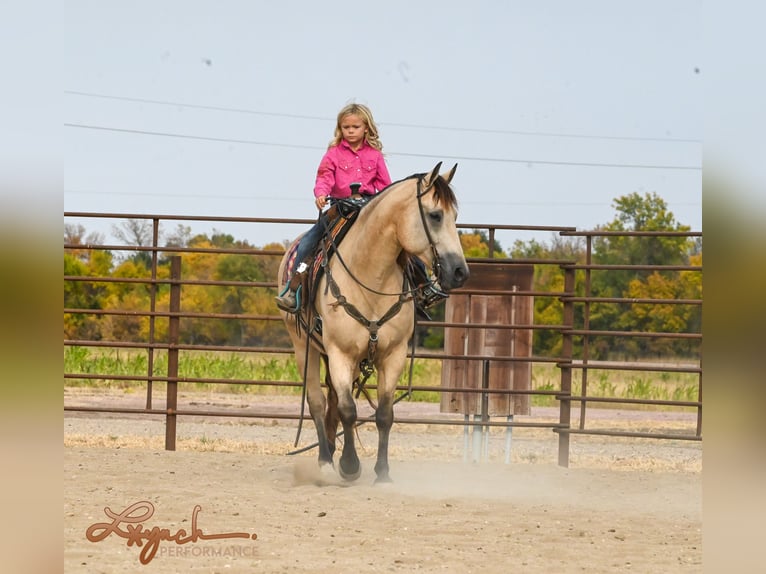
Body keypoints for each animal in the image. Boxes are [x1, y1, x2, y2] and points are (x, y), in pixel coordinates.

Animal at [276, 163, 468, 486]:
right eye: (435, 215)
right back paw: (325, 461)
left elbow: (384, 415)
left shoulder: (393, 355)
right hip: (304, 347)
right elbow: (348, 410)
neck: (371, 276)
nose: (459, 272)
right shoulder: (340, 353)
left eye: (455, 215)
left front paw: (382, 473)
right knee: (318, 402)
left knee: (331, 403)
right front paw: (349, 466)